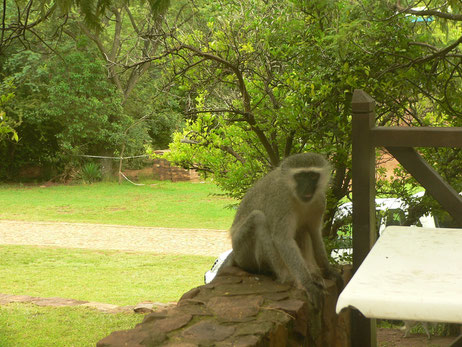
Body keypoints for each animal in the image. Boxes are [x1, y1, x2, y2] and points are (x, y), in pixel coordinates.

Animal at [217, 154, 342, 308]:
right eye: (300, 176)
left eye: (313, 176)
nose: (307, 188)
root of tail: (234, 251)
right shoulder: (280, 201)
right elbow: (282, 239)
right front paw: (307, 284)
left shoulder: (319, 201)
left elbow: (314, 234)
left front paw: (328, 271)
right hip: (242, 252)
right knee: (258, 218)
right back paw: (287, 276)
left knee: (302, 229)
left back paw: (313, 273)